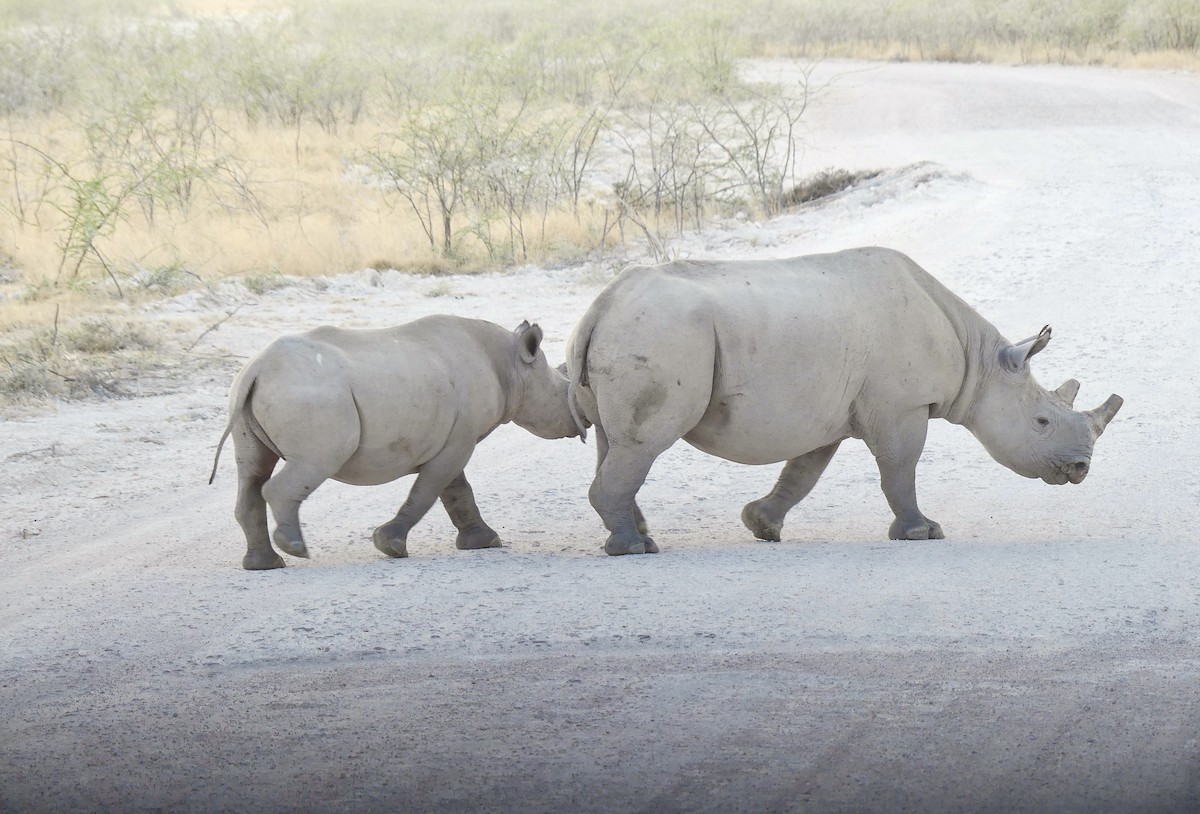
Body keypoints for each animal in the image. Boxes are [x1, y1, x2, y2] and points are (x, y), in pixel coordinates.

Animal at [210, 316, 579, 570]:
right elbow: (429, 490)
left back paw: (265, 564)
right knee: (312, 463)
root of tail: (257, 368)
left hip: (247, 396)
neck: (510, 364)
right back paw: (296, 549)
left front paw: (485, 542)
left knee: (252, 470)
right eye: (563, 390)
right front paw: (390, 546)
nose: (580, 421)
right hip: (312, 397)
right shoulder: (460, 439)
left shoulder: (453, 437)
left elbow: (455, 491)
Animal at [566, 247, 1123, 555]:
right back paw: (633, 549)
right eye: (1042, 421)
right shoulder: (901, 405)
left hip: (637, 333)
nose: (1080, 469)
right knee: (643, 444)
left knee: (615, 442)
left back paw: (637, 537)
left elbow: (803, 473)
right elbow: (900, 467)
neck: (981, 364)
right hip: (663, 334)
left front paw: (762, 526)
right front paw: (923, 533)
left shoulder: (827, 410)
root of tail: (601, 305)